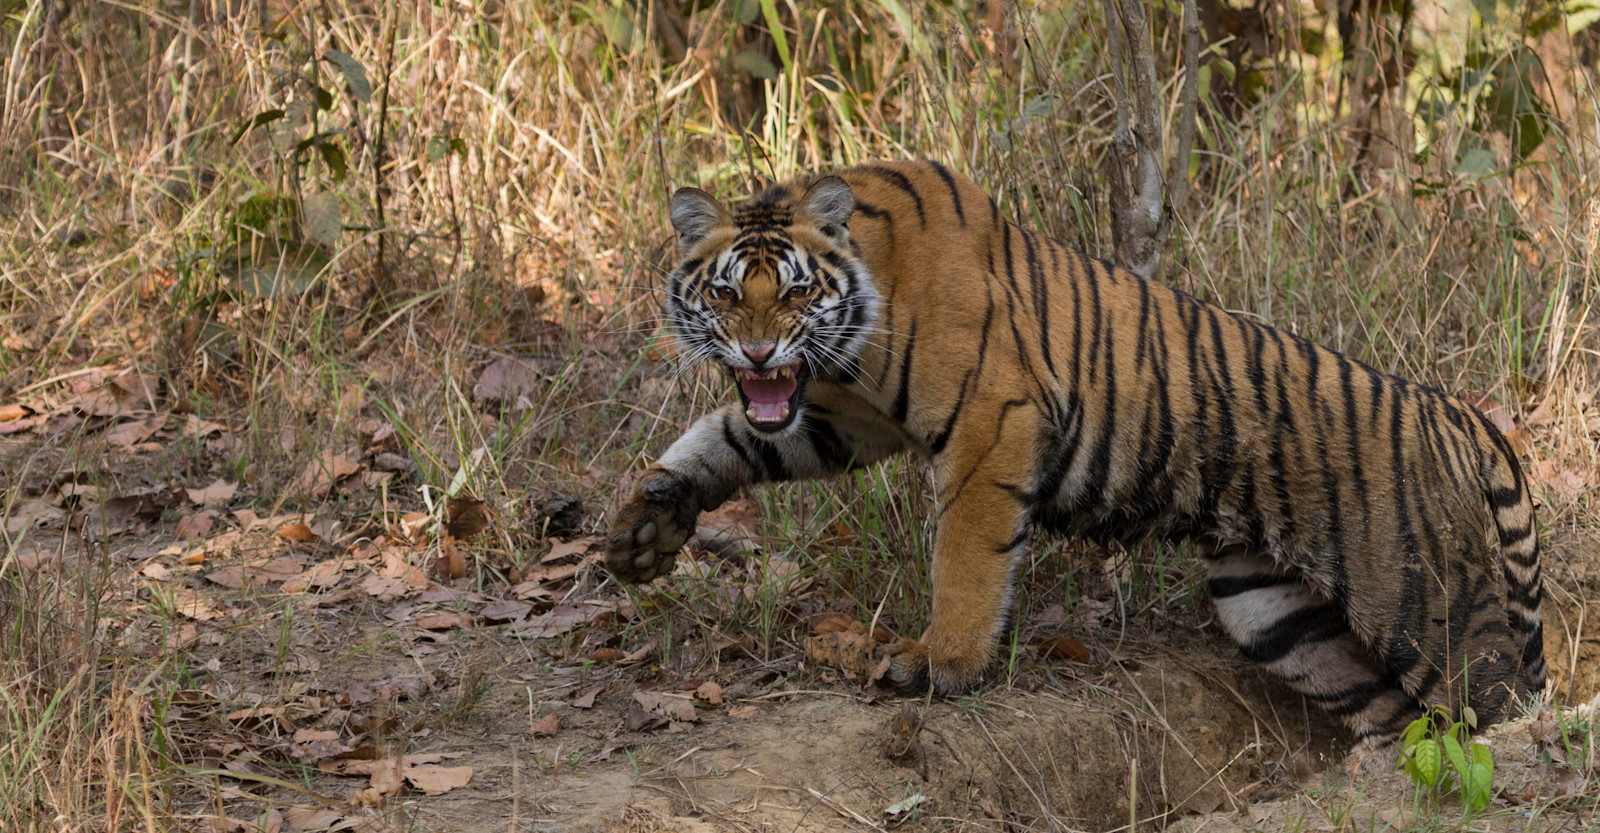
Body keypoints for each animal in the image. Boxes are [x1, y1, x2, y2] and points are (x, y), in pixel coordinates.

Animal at [603, 159, 1546, 759]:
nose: (760, 351)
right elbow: (723, 437)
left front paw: (941, 664)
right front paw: (642, 528)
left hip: (1422, 599)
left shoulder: (994, 418)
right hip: (1272, 608)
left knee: (1498, 701)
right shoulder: (835, 417)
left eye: (796, 290)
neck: (854, 327)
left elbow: (967, 559)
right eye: (726, 292)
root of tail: (1459, 413)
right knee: (1395, 713)